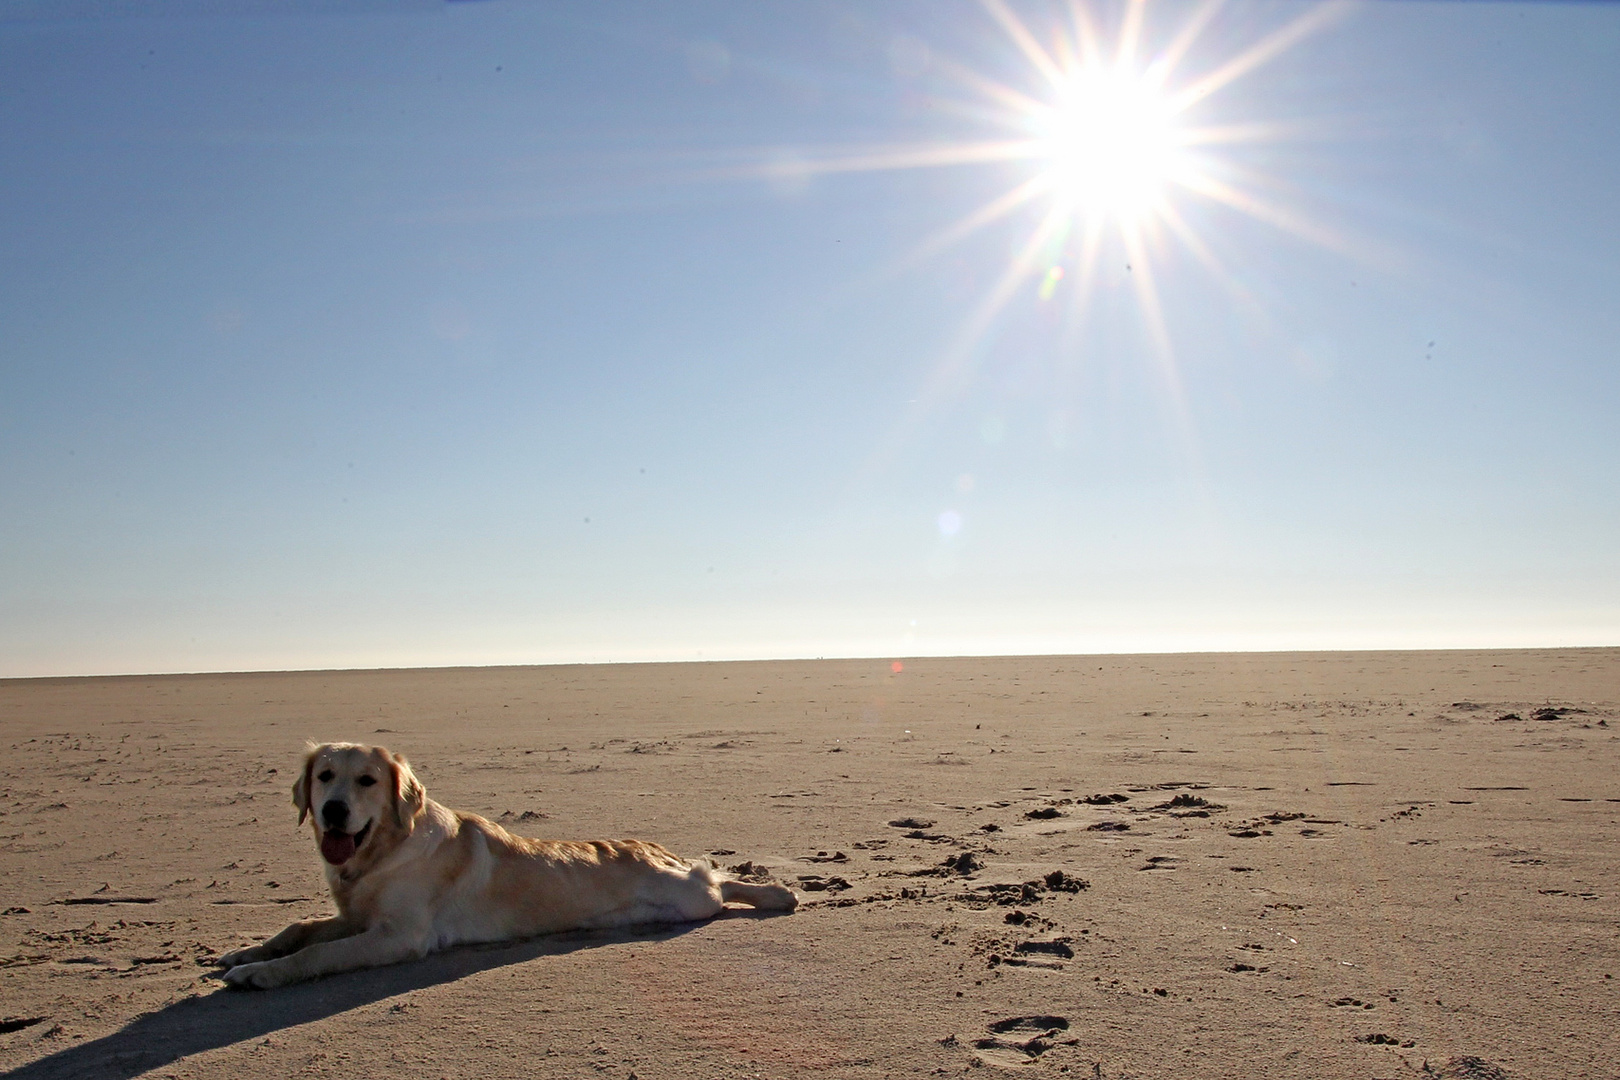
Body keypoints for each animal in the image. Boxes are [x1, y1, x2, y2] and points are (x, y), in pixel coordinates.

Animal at [215, 744, 797, 990]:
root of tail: (655, 848)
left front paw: (259, 974)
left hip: (689, 898)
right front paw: (245, 952)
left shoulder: (399, 935)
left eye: (367, 781)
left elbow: (318, 955)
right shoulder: (357, 916)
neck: (379, 852)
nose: (334, 811)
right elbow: (299, 928)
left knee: (715, 880)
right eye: (324, 776)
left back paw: (778, 894)